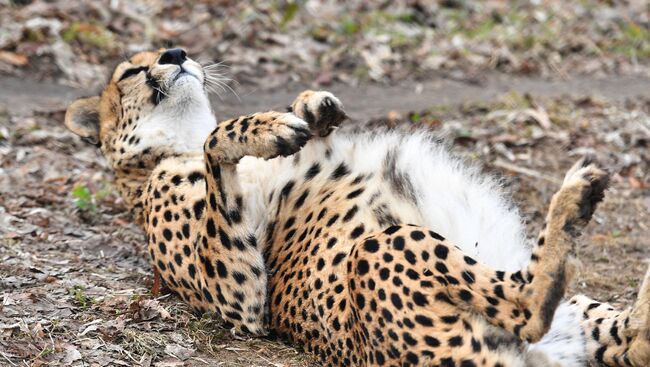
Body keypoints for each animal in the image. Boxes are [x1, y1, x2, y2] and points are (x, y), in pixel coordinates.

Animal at [62, 47, 648, 366]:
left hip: (578, 319)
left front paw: (313, 108)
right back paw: (573, 203)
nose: (177, 56)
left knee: (632, 341)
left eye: (170, 51)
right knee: (528, 304)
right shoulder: (241, 303)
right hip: (385, 246)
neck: (170, 144)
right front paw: (268, 128)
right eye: (129, 73)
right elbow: (217, 145)